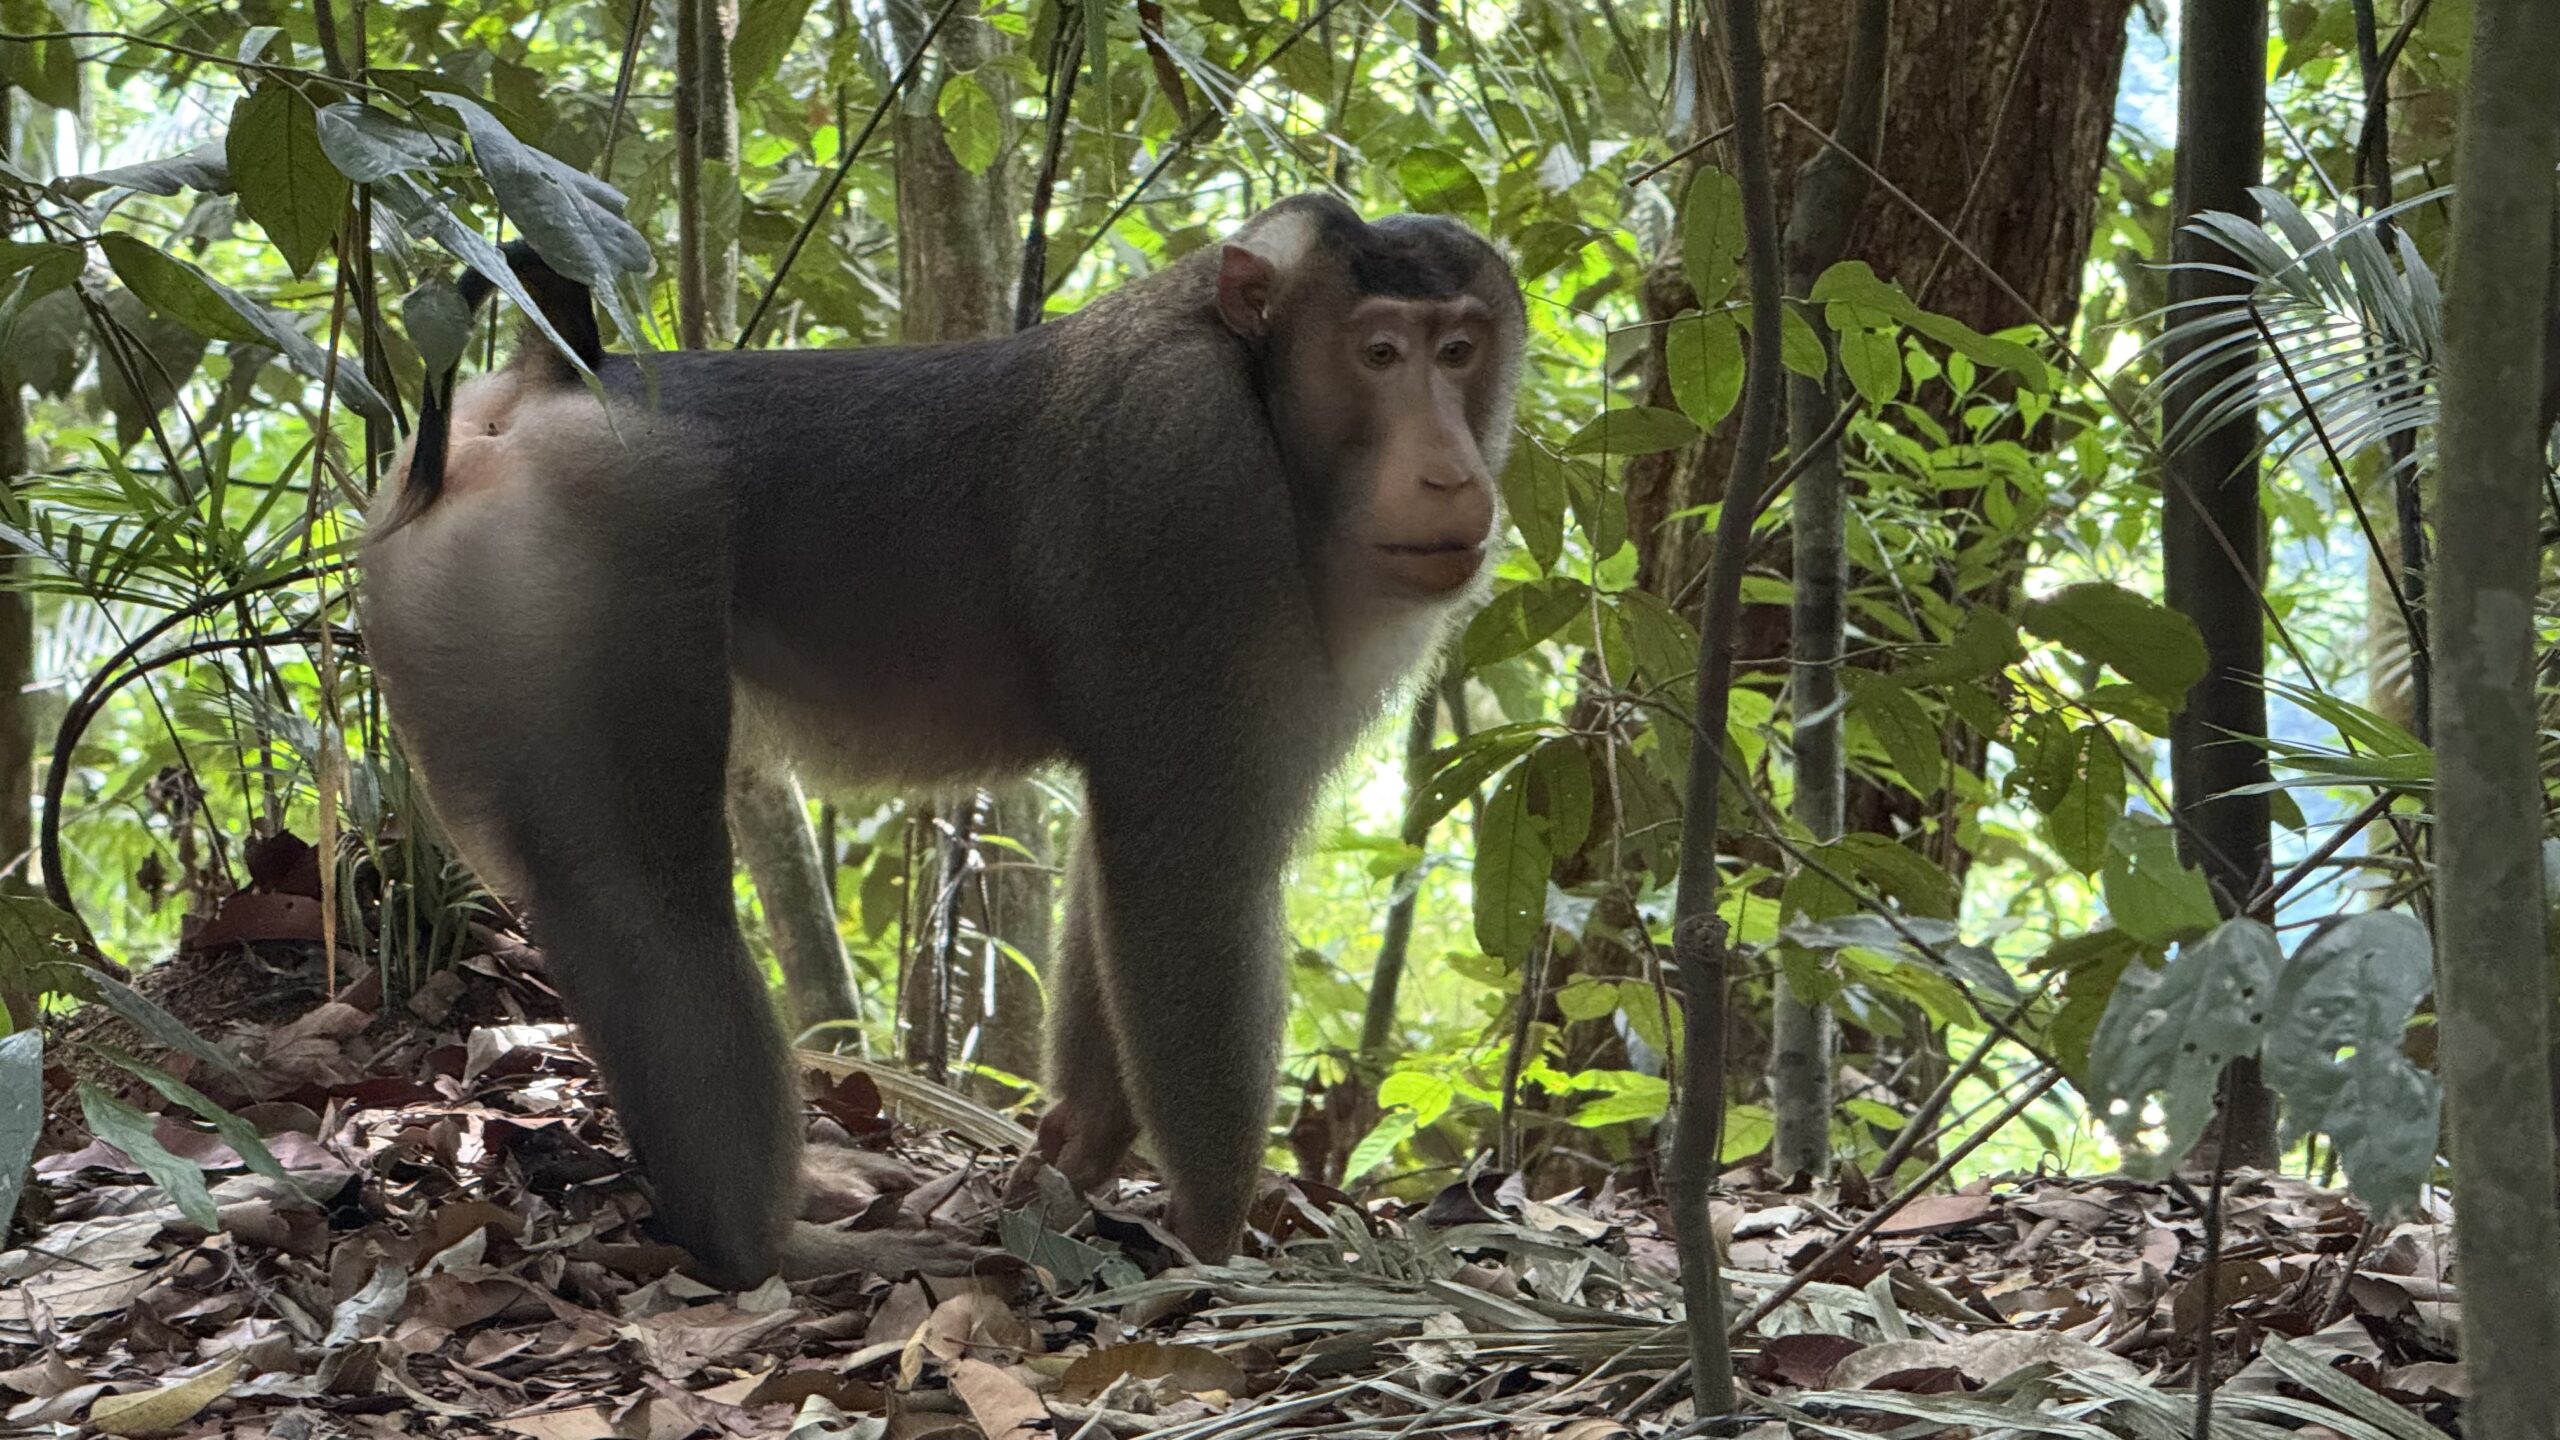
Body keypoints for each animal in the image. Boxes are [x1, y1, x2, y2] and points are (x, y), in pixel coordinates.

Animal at [358, 194, 1525, 1288]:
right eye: (1380, 353)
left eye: (1458, 351)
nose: (1450, 474)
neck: (1262, 400)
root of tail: (548, 383)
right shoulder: (1185, 481)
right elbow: (1187, 869)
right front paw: (1215, 1244)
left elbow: (1124, 859)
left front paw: (1081, 1151)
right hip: (599, 540)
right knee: (638, 892)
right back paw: (769, 1248)